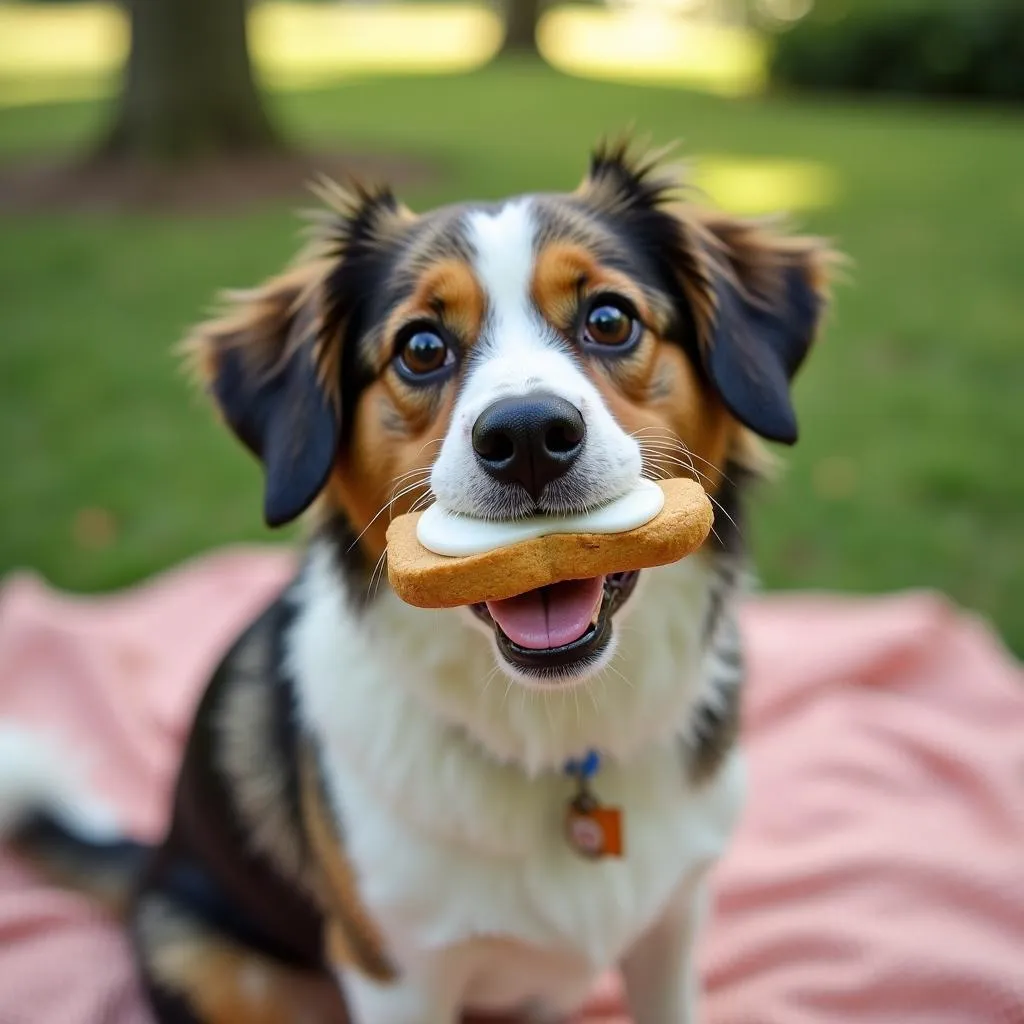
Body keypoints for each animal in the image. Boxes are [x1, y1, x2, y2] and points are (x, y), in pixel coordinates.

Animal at [0, 146, 831, 1024]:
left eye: (610, 320)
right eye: (422, 346)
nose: (527, 436)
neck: (556, 734)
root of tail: (155, 858)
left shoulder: (673, 924)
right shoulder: (395, 972)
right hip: (214, 965)